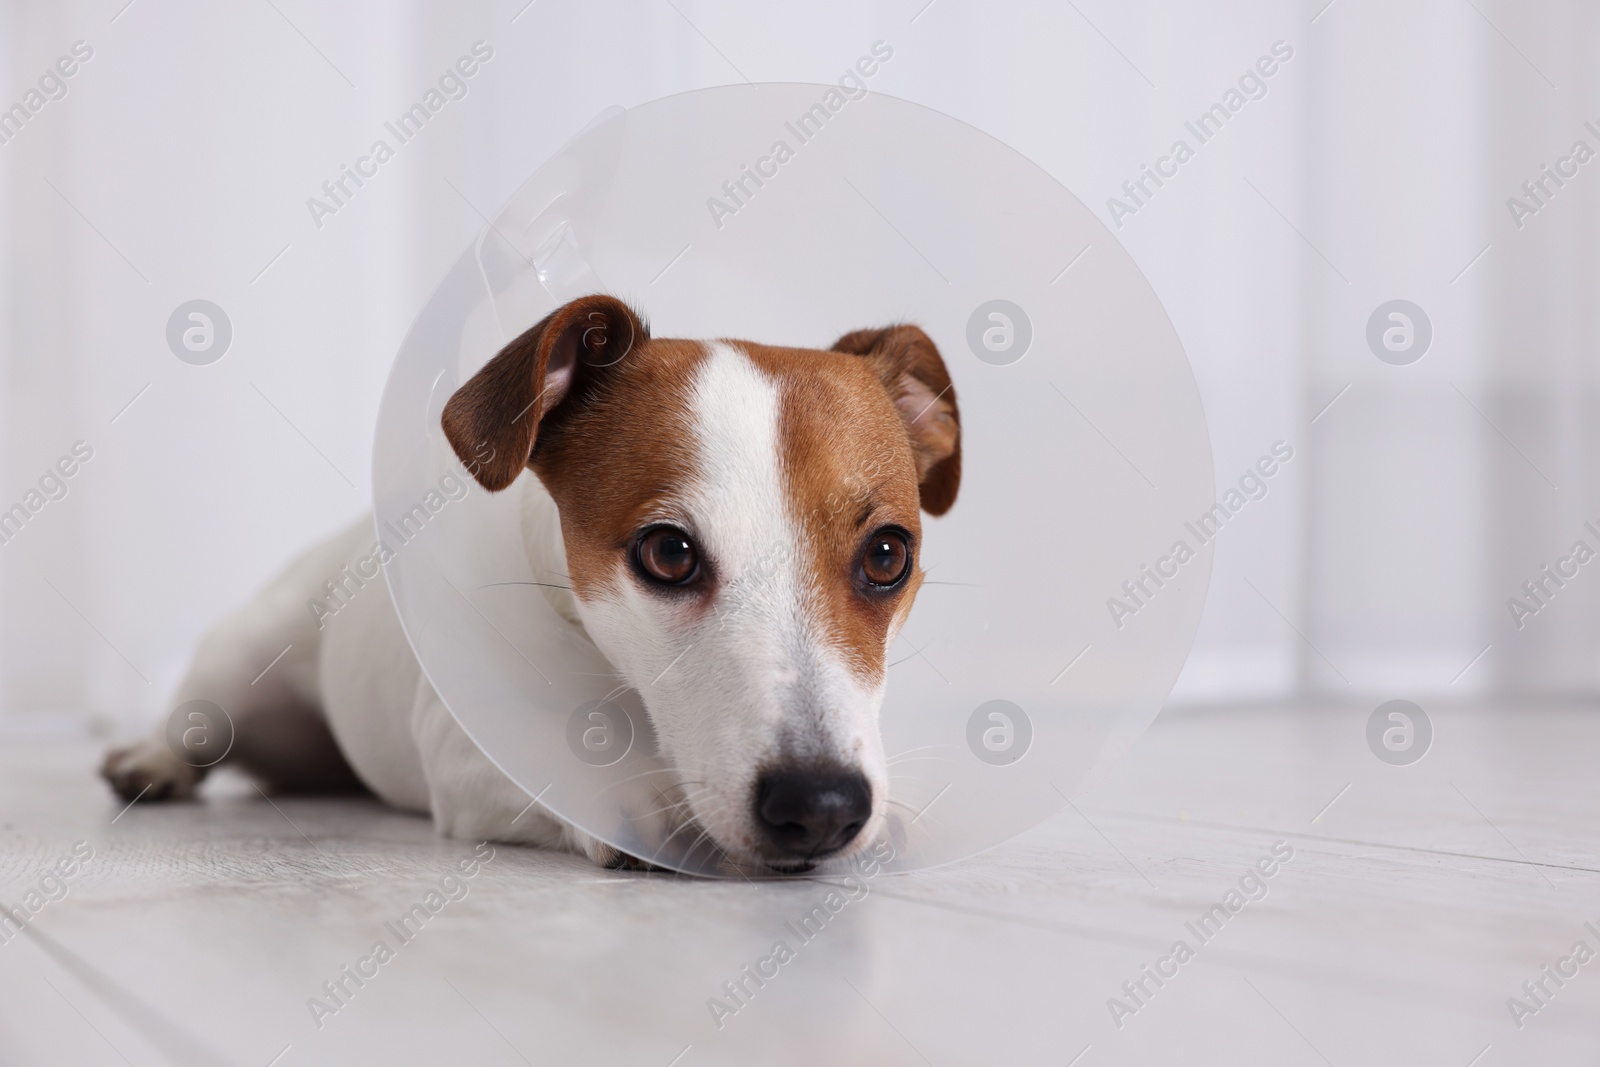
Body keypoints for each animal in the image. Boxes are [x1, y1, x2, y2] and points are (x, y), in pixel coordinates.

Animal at [109, 294, 960, 876]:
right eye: (669, 552)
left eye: (888, 554)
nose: (822, 805)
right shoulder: (464, 748)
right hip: (238, 665)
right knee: (194, 724)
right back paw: (149, 760)